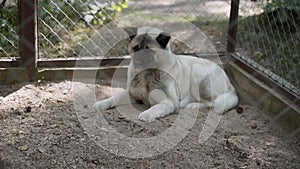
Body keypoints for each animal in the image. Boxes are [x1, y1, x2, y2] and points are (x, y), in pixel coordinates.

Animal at [94, 26, 239, 121]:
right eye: (136, 48)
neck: (147, 74)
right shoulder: (131, 95)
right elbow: (115, 97)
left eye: (148, 50)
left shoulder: (168, 102)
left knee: (212, 102)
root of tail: (231, 86)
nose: (137, 61)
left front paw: (147, 114)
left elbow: (157, 108)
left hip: (199, 75)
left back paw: (192, 105)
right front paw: (102, 103)